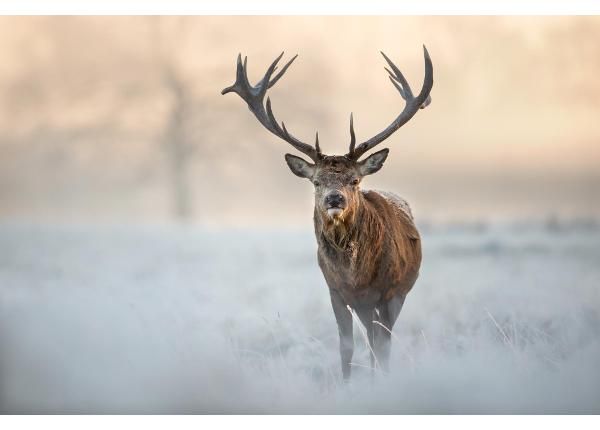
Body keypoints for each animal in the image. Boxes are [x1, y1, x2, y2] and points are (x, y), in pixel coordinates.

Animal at [223, 45, 434, 378]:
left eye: (355, 180)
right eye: (317, 181)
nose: (335, 199)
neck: (356, 276)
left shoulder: (389, 292)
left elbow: (383, 347)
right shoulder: (336, 292)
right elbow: (346, 347)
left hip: (399, 291)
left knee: (378, 342)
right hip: (364, 305)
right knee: (370, 339)